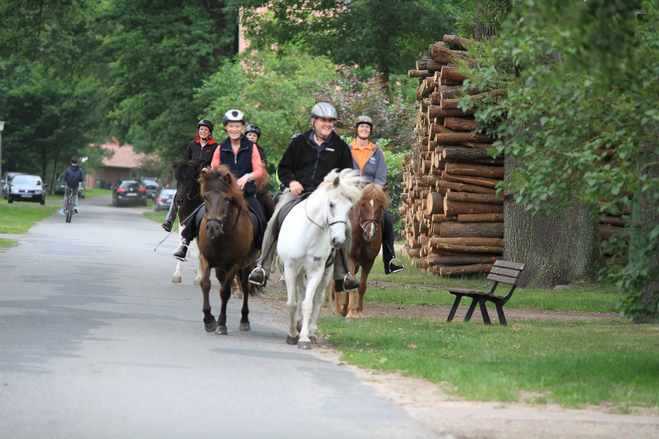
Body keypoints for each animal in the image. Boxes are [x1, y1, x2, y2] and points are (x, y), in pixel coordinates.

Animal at [196, 167, 260, 336]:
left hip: (248, 265)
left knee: (245, 286)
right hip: (220, 268)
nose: (212, 228)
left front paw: (221, 325)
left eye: (226, 199)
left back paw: (244, 320)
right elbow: (206, 284)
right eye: (206, 196)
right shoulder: (205, 259)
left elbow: (225, 292)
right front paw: (209, 320)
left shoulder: (234, 265)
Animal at [276, 168, 364, 350]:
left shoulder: (316, 271)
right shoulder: (290, 269)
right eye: (331, 204)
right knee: (301, 295)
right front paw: (292, 333)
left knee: (317, 300)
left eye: (350, 208)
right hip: (299, 273)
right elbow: (292, 303)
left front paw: (304, 338)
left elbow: (309, 304)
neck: (308, 233)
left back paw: (312, 332)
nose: (338, 241)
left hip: (326, 272)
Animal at [332, 183, 390, 320]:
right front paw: (350, 314)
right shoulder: (350, 259)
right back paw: (337, 311)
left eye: (380, 206)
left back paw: (342, 308)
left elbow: (361, 286)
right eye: (363, 204)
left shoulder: (369, 262)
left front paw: (357, 312)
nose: (370, 233)